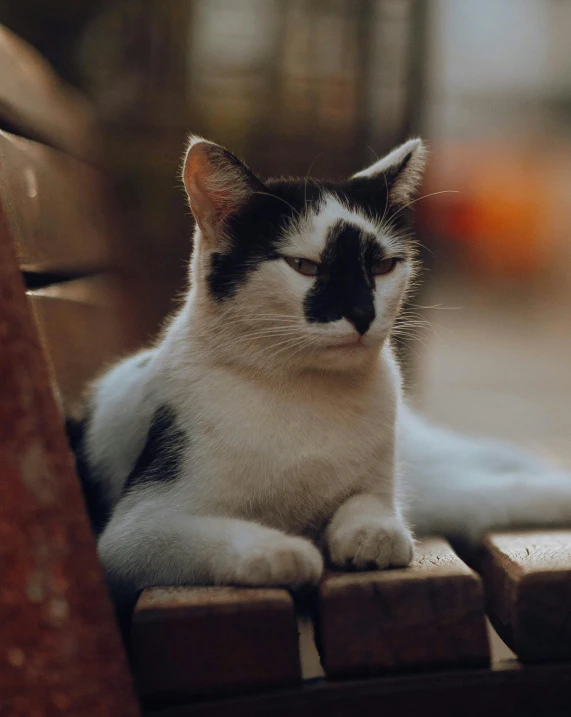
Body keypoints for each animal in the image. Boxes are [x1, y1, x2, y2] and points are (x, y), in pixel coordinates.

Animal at [75, 136, 571, 604]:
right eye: (304, 266)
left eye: (383, 265)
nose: (362, 313)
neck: (303, 390)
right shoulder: (134, 535)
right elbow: (209, 533)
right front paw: (282, 551)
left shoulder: (379, 487)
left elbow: (370, 505)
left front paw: (371, 535)